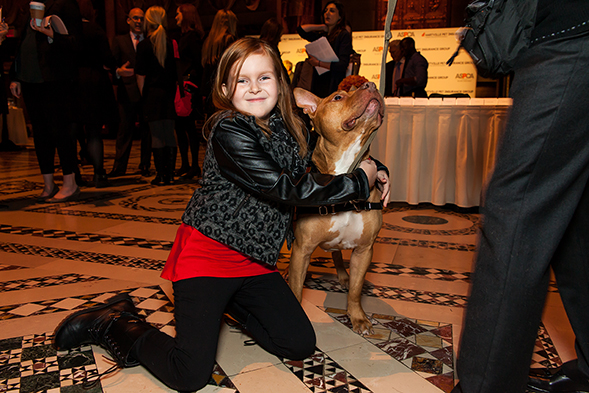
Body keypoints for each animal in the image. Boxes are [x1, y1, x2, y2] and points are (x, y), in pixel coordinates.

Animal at [290, 82, 384, 334]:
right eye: (338, 97)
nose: (371, 84)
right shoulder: (301, 250)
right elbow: (296, 289)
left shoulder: (364, 250)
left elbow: (356, 290)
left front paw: (358, 317)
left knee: (338, 255)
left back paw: (343, 276)